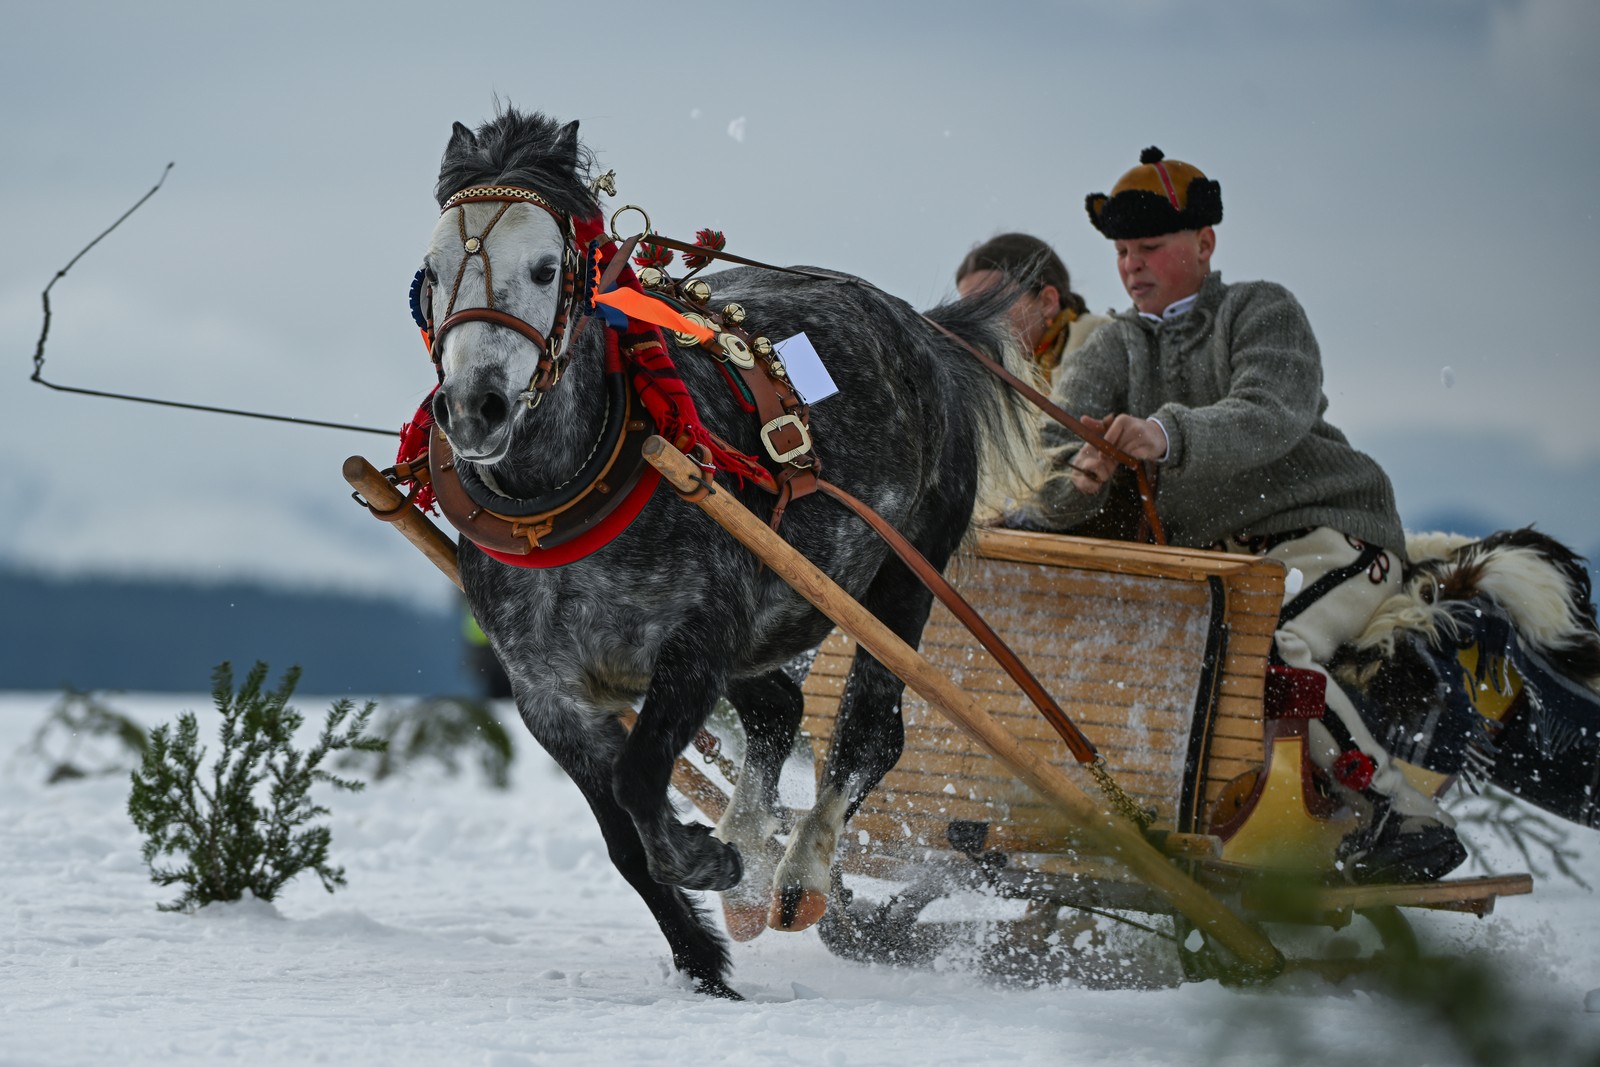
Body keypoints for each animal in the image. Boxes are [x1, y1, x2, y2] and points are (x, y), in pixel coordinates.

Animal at [413, 108, 1040, 997]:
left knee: (870, 729)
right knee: (778, 707)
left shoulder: (697, 643)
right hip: (778, 609)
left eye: (545, 267)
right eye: (431, 272)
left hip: (901, 574)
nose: (476, 407)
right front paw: (703, 957)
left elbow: (642, 779)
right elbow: (622, 836)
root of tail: (923, 327)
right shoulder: (547, 693)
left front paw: (706, 861)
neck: (568, 497)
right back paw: (750, 868)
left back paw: (799, 874)